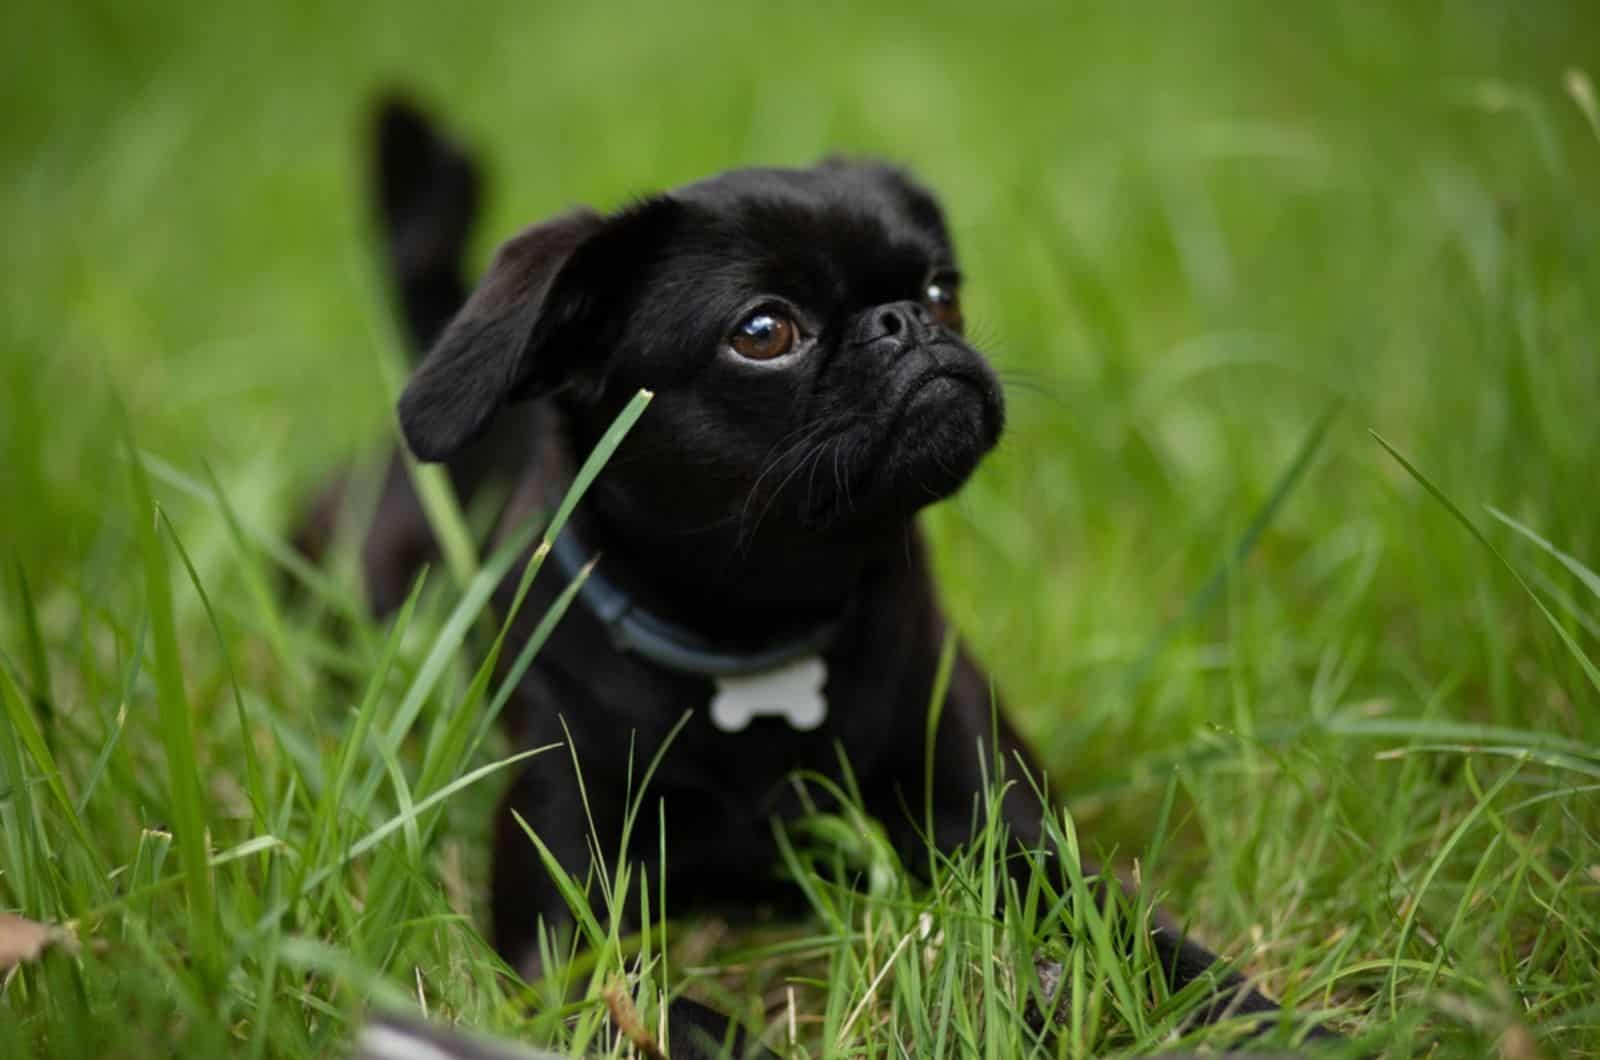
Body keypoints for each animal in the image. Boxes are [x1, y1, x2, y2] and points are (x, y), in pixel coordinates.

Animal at [324, 97, 1324, 1056]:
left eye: (942, 292)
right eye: (764, 332)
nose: (904, 323)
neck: (759, 632)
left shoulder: (1004, 829)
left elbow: (1148, 940)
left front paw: (1273, 1024)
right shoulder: (562, 936)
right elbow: (661, 1014)